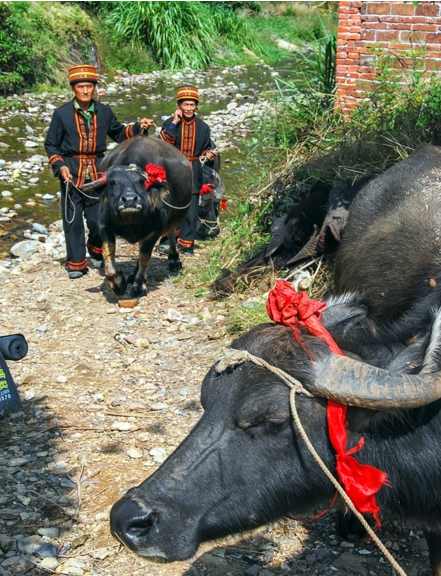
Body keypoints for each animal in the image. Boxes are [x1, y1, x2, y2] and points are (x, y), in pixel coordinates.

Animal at [83, 135, 192, 296]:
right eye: (113, 182)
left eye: (141, 181)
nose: (129, 200)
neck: (131, 222)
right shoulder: (104, 225)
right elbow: (108, 249)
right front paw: (117, 283)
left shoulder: (155, 230)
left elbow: (145, 256)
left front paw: (139, 285)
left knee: (171, 234)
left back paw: (174, 260)